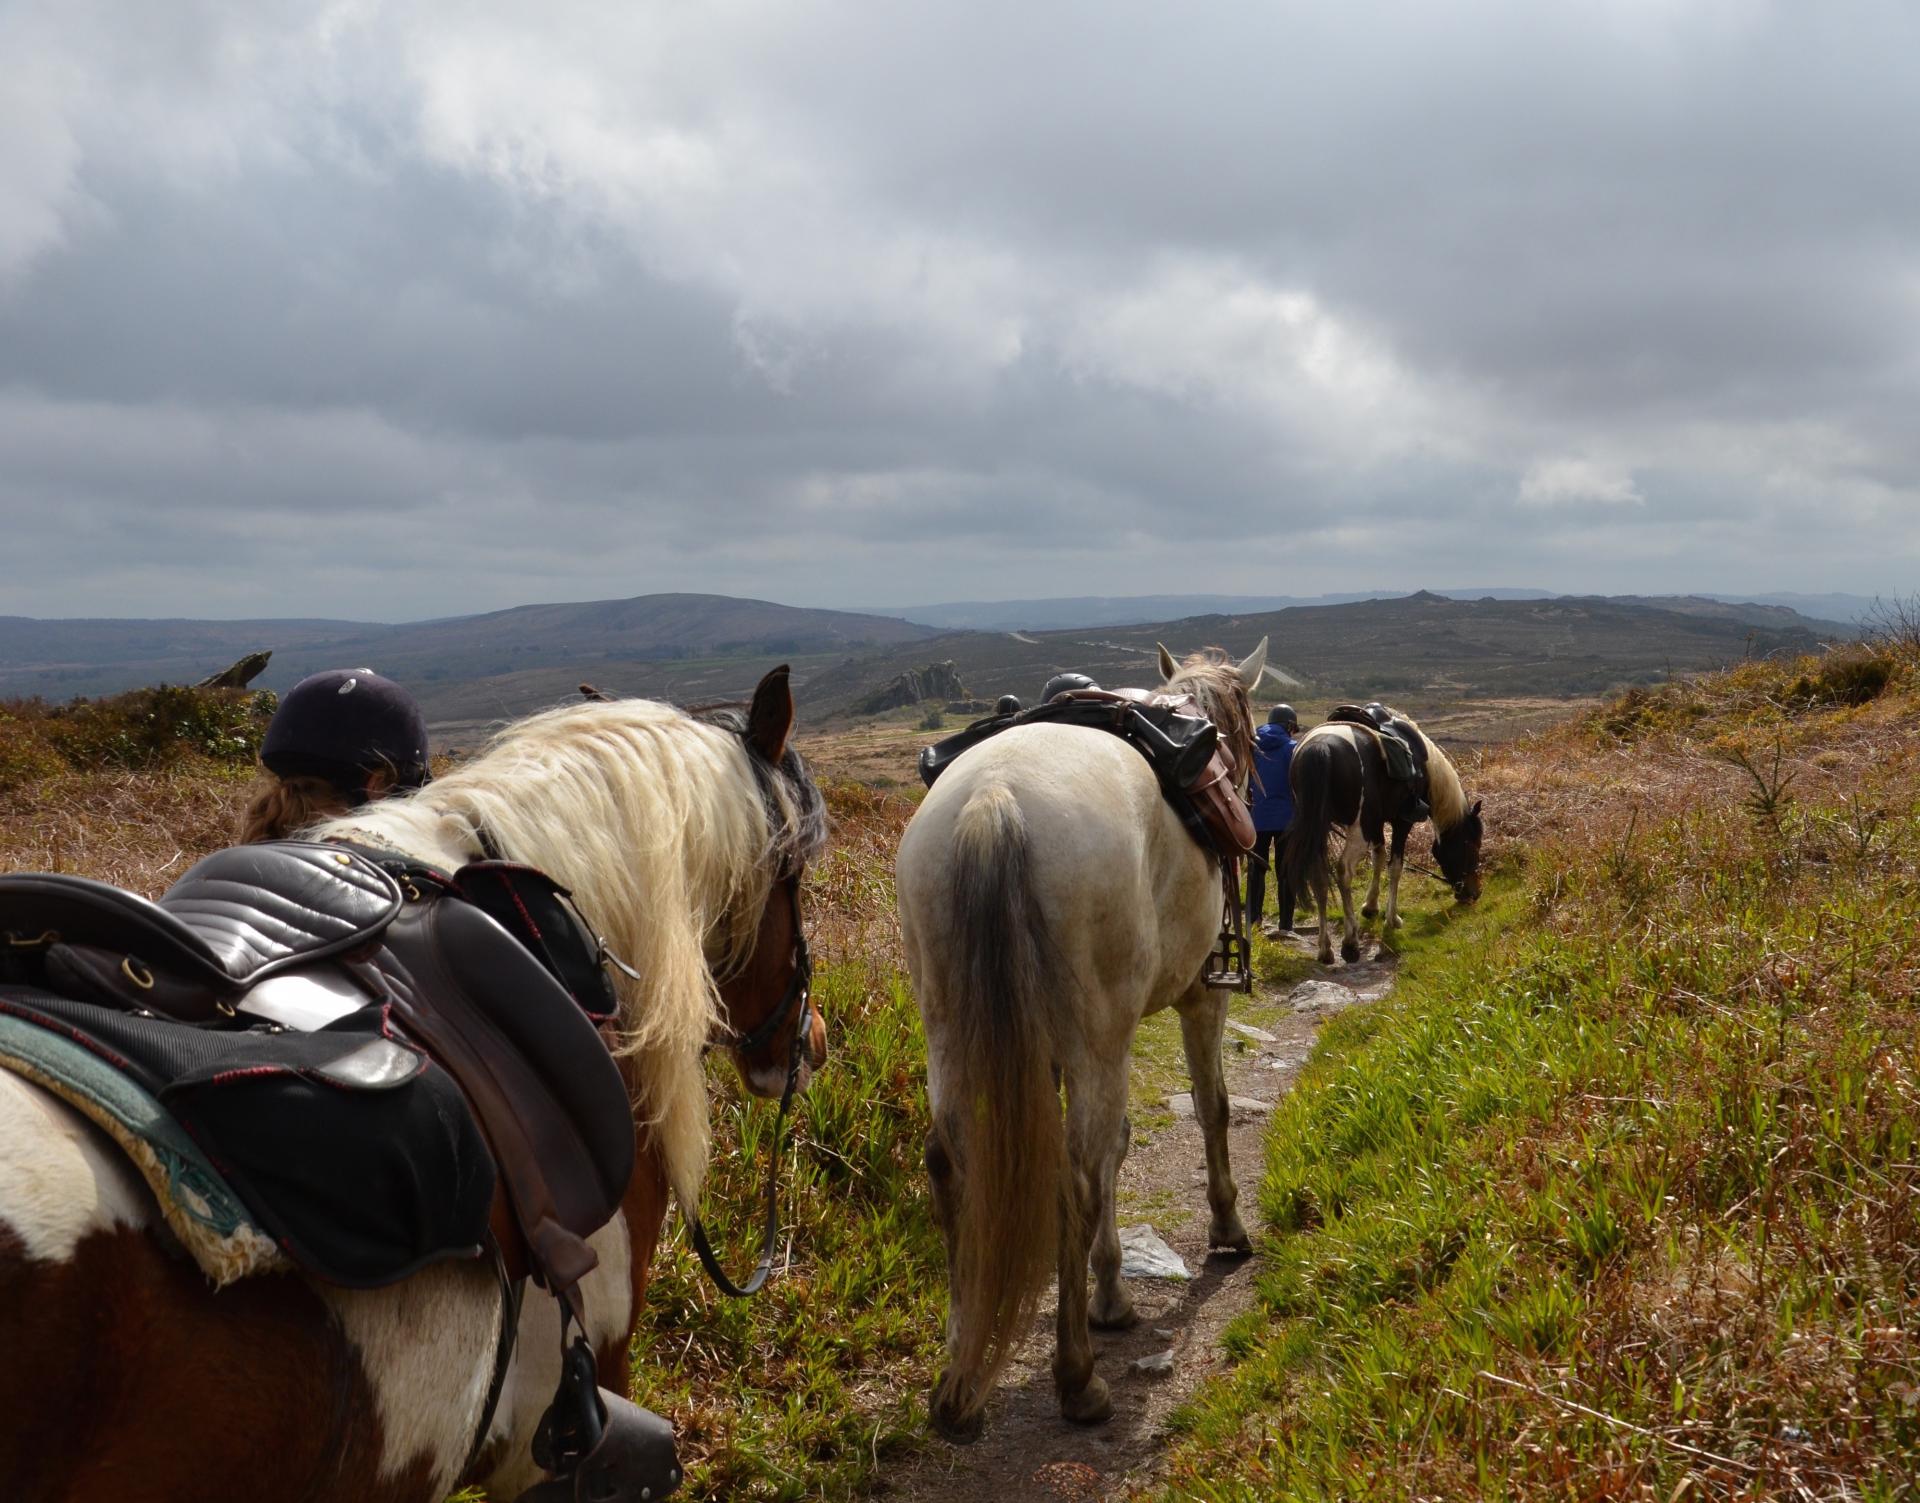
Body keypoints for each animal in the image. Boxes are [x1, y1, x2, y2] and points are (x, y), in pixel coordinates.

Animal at [902, 633, 1267, 1443]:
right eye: (1252, 734)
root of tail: (997, 798)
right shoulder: (1195, 1001)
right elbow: (1210, 1109)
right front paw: (1225, 1227)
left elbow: (1118, 1151)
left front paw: (1109, 1290)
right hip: (1099, 1035)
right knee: (1073, 1174)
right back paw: (1077, 1381)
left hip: (952, 1027)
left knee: (952, 1163)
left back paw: (957, 1382)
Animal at [1290, 714, 1482, 971]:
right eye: (1472, 844)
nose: (1474, 893)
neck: (1423, 766)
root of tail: (1320, 748)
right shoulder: (1402, 822)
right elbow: (1395, 867)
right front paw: (1392, 919)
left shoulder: (1376, 824)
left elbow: (1378, 857)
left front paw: (1371, 907)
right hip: (1357, 830)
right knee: (1343, 871)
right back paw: (1350, 943)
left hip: (1317, 828)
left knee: (1318, 875)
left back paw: (1325, 949)